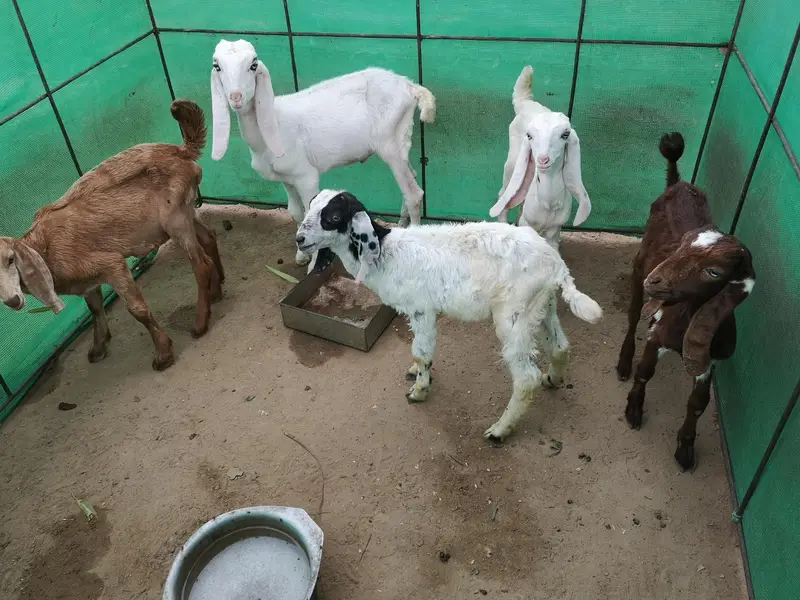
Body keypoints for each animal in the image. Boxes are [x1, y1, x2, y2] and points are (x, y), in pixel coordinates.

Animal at [0, 100, 225, 371]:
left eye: (10, 259)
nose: (12, 301)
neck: (44, 247)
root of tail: (181, 151)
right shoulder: (88, 280)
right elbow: (95, 308)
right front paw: (98, 347)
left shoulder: (111, 264)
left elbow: (137, 310)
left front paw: (163, 353)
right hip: (186, 211)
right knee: (209, 237)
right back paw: (217, 292)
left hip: (176, 219)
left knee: (201, 264)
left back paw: (200, 322)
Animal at [210, 39, 436, 267]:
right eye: (217, 66)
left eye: (253, 65)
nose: (236, 97)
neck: (274, 123)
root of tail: (410, 86)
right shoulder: (287, 178)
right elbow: (295, 213)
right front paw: (301, 256)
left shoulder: (306, 176)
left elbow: (310, 214)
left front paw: (313, 262)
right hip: (400, 141)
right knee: (411, 179)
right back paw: (401, 222)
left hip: (390, 144)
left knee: (414, 194)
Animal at [296, 189, 603, 441]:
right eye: (311, 206)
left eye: (334, 216)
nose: (299, 239)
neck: (386, 253)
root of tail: (556, 265)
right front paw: (416, 373)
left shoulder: (421, 308)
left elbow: (422, 352)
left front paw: (419, 391)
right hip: (541, 305)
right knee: (560, 346)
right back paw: (553, 379)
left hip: (514, 314)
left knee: (527, 378)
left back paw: (500, 430)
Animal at [489, 66, 591, 248]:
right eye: (529, 136)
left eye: (565, 134)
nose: (543, 160)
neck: (548, 205)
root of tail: (526, 103)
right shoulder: (527, 223)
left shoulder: (555, 231)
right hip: (511, 165)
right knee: (504, 195)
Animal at [616, 132, 755, 471]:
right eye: (681, 245)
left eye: (714, 271)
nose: (655, 281)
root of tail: (677, 183)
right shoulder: (657, 335)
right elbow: (645, 371)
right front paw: (634, 410)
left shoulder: (710, 359)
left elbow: (699, 403)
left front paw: (686, 449)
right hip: (638, 264)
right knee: (632, 316)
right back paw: (624, 361)